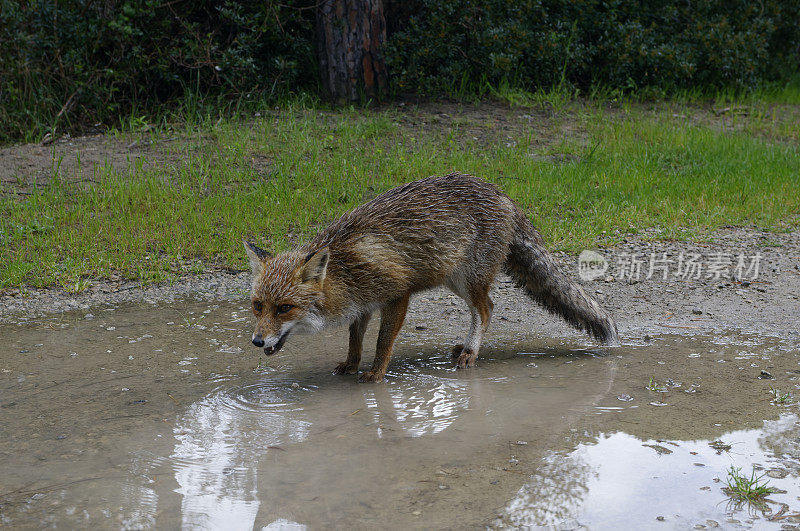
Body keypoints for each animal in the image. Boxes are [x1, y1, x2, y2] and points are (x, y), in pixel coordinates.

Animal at [244, 171, 620, 382]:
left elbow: (382, 342)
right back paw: (465, 347)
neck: (345, 268)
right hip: (454, 279)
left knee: (486, 310)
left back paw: (471, 352)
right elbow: (354, 340)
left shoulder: (398, 294)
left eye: (284, 308)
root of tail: (503, 194)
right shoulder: (364, 304)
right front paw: (351, 365)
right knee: (487, 307)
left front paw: (376, 374)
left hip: (467, 278)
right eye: (258, 306)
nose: (257, 342)